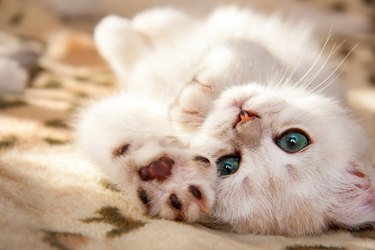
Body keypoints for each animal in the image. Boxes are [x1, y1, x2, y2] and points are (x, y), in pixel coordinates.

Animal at [75, 6, 374, 236]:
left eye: (227, 166)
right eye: (294, 140)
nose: (244, 118)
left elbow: (100, 123)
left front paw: (169, 181)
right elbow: (247, 49)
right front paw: (196, 100)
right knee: (163, 23)